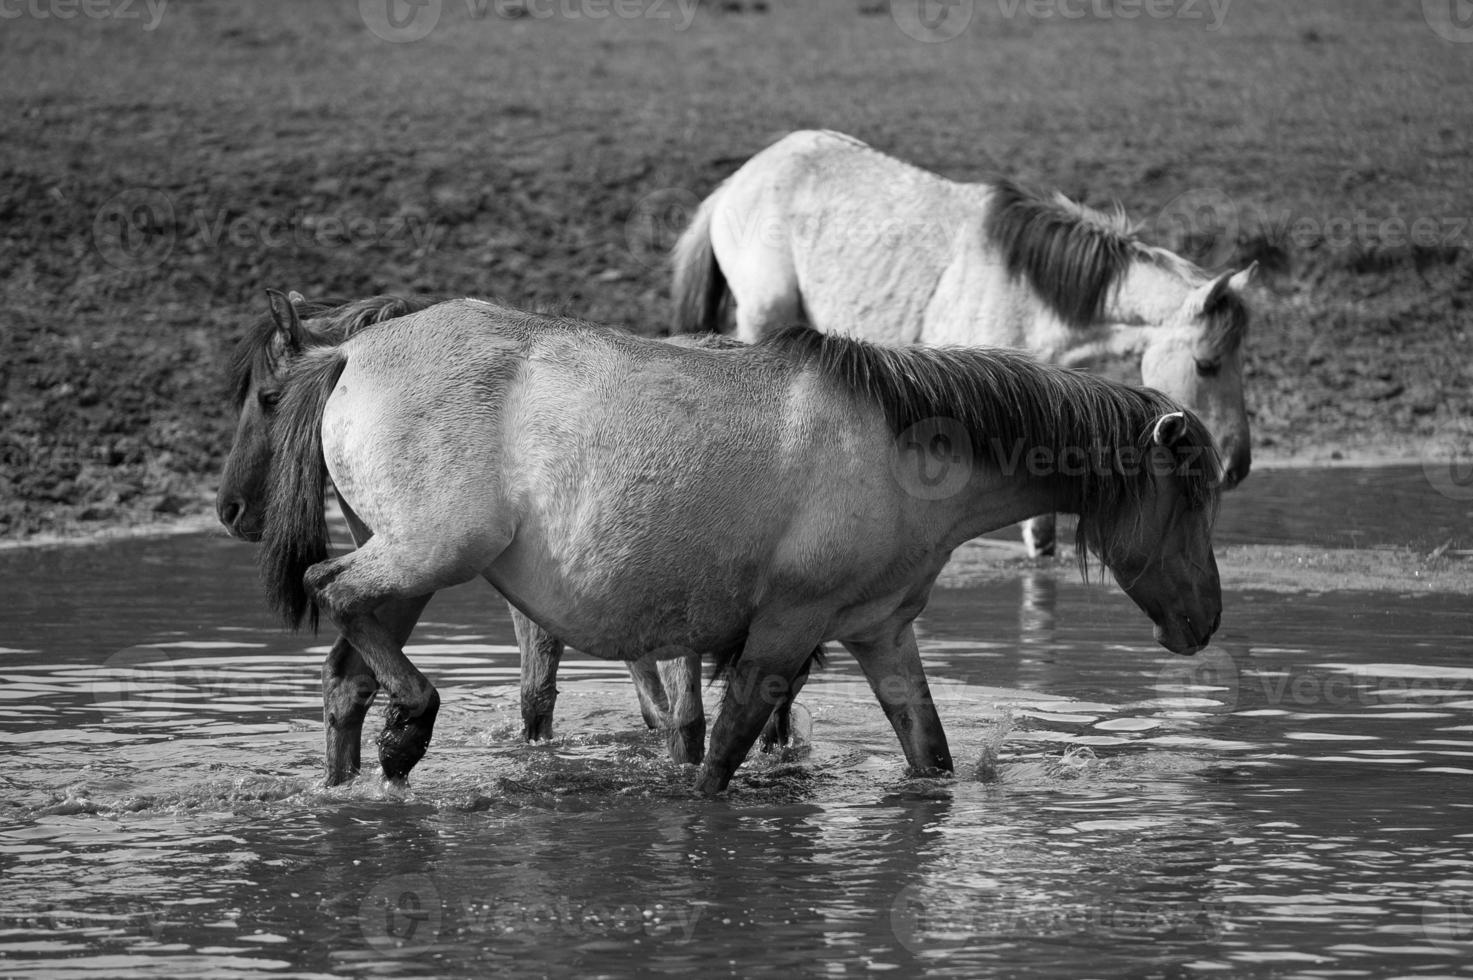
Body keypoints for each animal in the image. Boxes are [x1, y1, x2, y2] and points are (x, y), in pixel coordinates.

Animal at [671, 128, 1254, 554]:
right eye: (1206, 364)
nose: (1237, 468)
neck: (1024, 292)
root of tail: (737, 181)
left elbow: (1042, 540)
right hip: (763, 316)